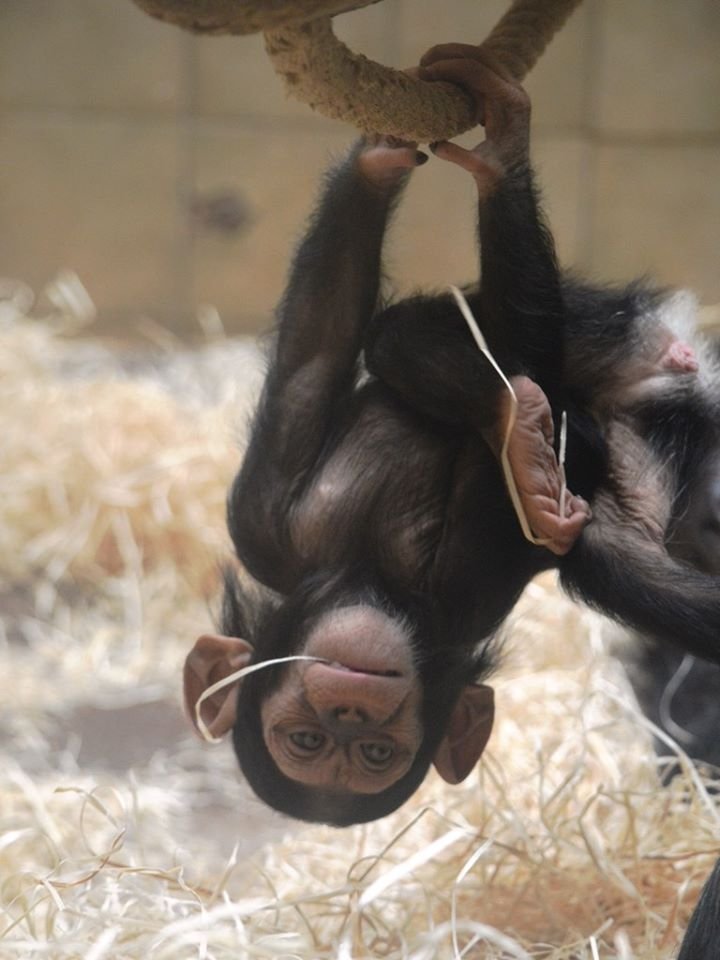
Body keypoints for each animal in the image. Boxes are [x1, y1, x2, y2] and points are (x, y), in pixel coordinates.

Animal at [184, 48, 720, 824]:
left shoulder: (267, 532)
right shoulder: (283, 531)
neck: (374, 574)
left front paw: (377, 156)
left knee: (420, 332)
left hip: (623, 330)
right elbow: (313, 360)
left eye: (368, 750)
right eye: (310, 743)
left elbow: (318, 355)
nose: (350, 713)